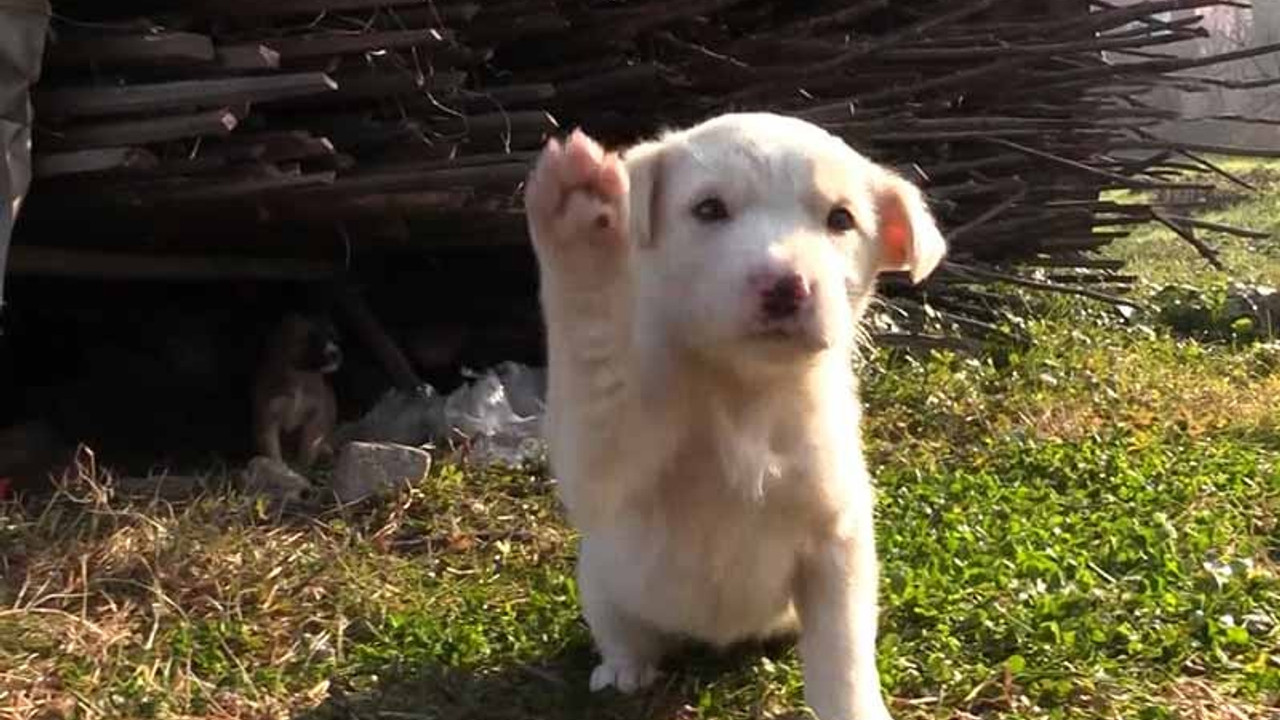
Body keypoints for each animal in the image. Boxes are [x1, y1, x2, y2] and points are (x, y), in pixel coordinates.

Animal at [252, 311, 343, 468]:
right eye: (312, 338)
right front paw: (279, 468)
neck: (299, 375)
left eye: (333, 335)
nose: (335, 353)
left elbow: (307, 448)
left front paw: (303, 469)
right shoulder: (268, 415)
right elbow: (272, 448)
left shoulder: (315, 413)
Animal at [524, 112, 947, 717]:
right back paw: (625, 667)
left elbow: (842, 656)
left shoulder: (835, 545)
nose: (786, 287)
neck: (747, 396)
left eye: (840, 219)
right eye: (709, 209)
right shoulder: (605, 467)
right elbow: (595, 351)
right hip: (602, 581)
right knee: (625, 632)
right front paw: (581, 224)